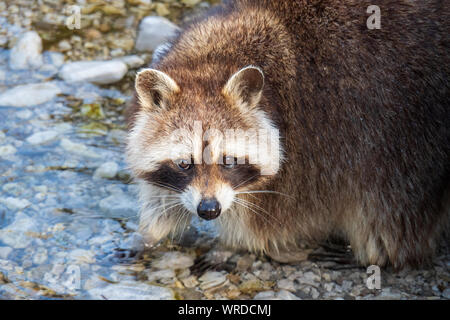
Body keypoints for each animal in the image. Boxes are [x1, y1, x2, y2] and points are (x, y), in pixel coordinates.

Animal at [126, 1, 450, 268]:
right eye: (184, 163)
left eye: (229, 161)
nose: (208, 210)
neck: (212, 61)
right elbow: (163, 194)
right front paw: (152, 231)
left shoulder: (310, 144)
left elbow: (266, 221)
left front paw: (231, 245)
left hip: (404, 134)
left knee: (391, 204)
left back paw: (377, 254)